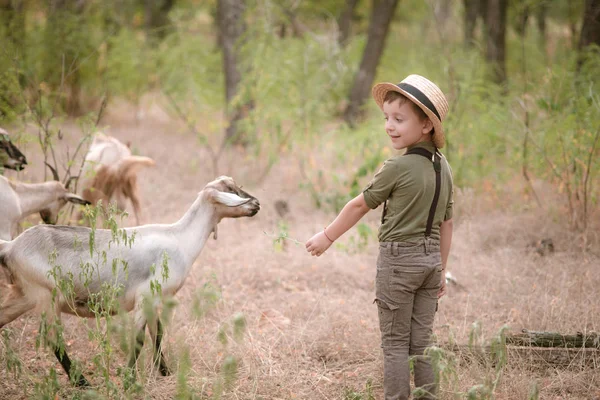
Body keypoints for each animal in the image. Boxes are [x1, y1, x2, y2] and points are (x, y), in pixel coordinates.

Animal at [1, 176, 262, 388]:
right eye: (231, 190)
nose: (257, 204)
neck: (179, 238)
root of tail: (11, 247)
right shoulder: (145, 297)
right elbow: (138, 339)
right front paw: (129, 380)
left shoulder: (155, 300)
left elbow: (158, 335)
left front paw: (165, 373)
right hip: (46, 296)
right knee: (54, 340)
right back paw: (82, 382)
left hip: (23, 295)